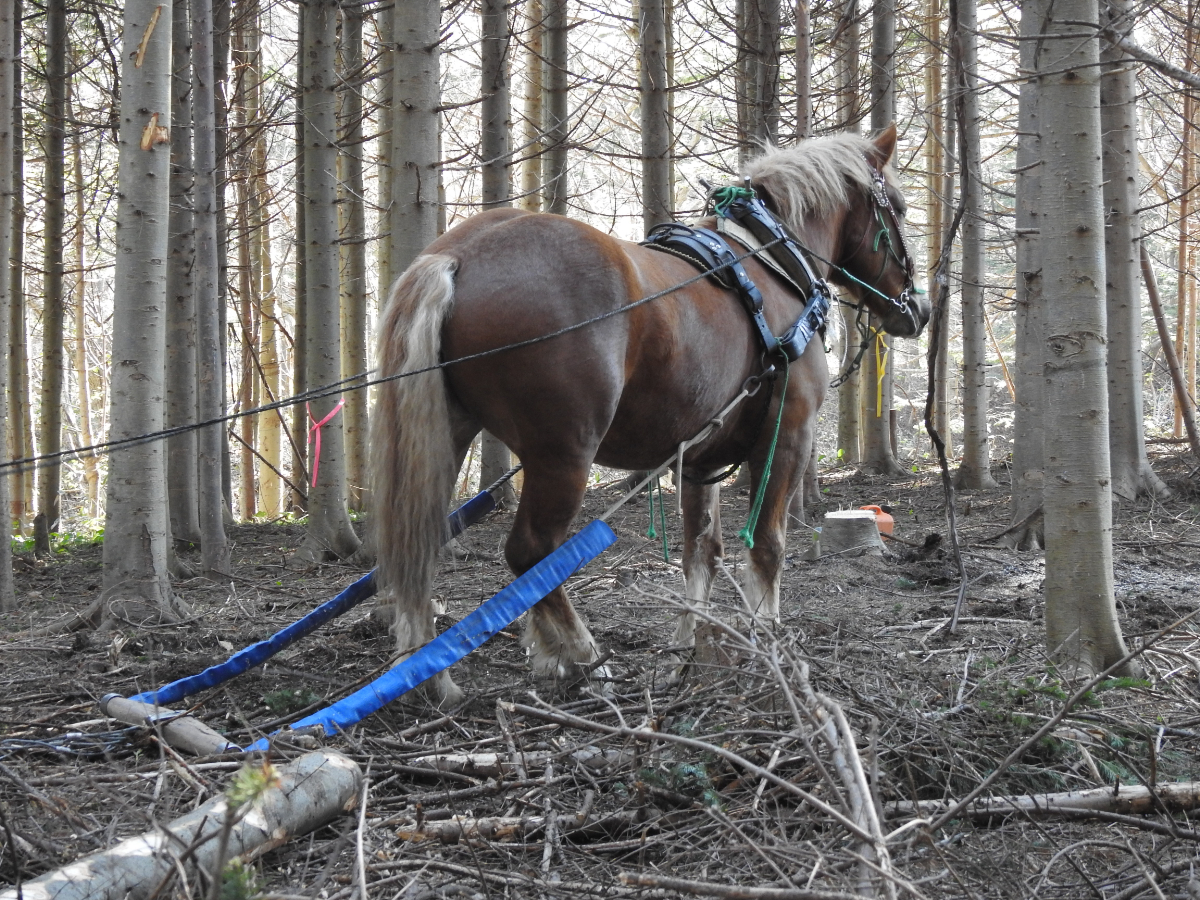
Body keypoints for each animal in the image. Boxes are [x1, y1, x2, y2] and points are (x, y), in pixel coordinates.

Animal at [369, 127, 931, 705]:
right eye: (900, 208)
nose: (919, 309)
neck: (774, 264)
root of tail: (457, 254)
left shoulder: (702, 458)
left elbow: (702, 550)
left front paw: (687, 647)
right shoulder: (789, 435)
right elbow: (768, 546)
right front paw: (767, 644)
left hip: (450, 436)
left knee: (421, 546)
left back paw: (430, 676)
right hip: (563, 454)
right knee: (532, 554)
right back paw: (583, 657)